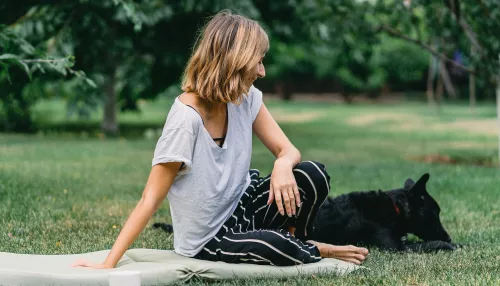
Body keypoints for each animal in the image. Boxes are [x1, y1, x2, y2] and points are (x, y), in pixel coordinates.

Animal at [312, 173, 460, 251]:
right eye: (434, 214)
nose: (448, 238)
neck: (395, 208)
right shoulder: (397, 248)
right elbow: (432, 243)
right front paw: (451, 244)